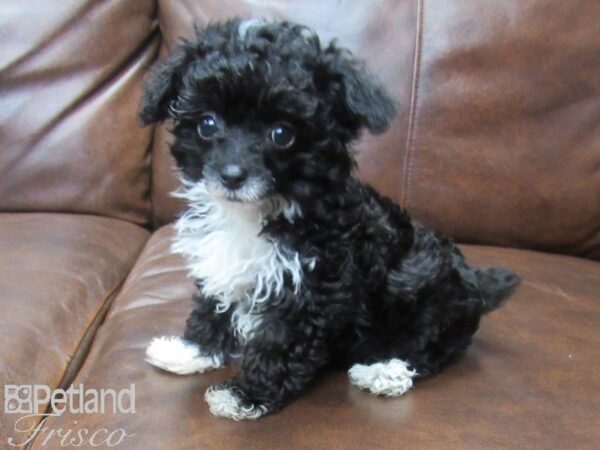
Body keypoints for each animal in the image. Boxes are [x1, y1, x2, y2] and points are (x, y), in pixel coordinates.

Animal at [141, 19, 520, 420]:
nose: (232, 175)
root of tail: (475, 284)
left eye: (282, 133)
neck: (260, 210)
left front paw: (244, 395)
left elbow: (279, 343)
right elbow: (214, 306)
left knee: (427, 350)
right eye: (208, 124)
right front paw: (192, 350)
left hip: (430, 297)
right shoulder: (226, 266)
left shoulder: (314, 286)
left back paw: (385, 372)